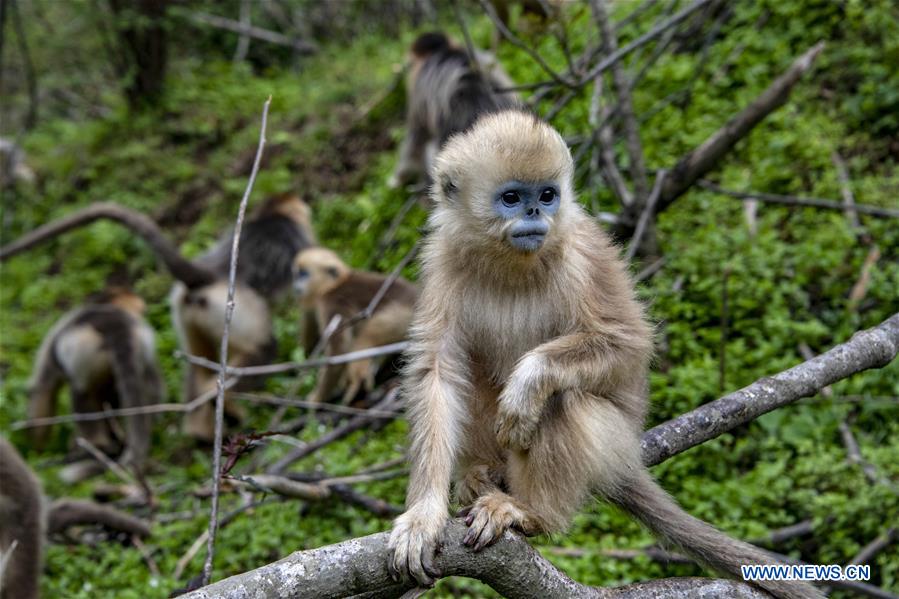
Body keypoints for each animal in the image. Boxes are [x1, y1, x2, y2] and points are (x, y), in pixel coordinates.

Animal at [0, 193, 317, 443]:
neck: (273, 215)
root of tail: (209, 277)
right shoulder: (299, 240)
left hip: (186, 311)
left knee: (197, 366)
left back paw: (201, 432)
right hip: (236, 311)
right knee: (261, 350)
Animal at [27, 288, 162, 479]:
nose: (145, 311)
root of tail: (118, 329)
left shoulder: (55, 339)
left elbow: (43, 390)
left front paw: (36, 449)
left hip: (85, 352)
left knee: (81, 392)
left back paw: (96, 447)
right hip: (140, 346)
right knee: (145, 388)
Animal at [292, 247, 418, 405]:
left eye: (304, 274)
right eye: (297, 274)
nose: (296, 283)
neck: (334, 285)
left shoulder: (331, 302)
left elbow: (338, 352)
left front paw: (317, 399)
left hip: (402, 316)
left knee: (367, 335)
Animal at [385, 111, 822, 599]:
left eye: (548, 195)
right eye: (512, 198)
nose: (535, 212)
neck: (513, 264)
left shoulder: (583, 254)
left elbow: (627, 344)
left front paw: (528, 382)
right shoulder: (442, 261)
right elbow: (436, 372)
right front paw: (424, 516)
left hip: (609, 437)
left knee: (560, 398)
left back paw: (533, 512)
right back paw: (481, 473)